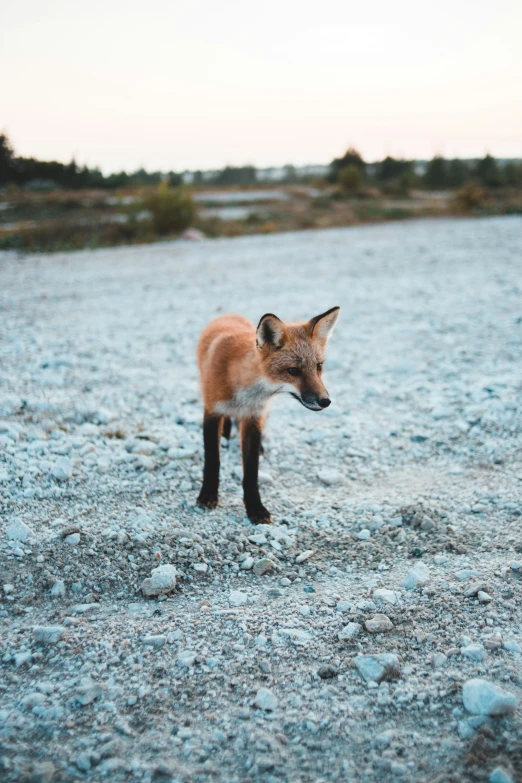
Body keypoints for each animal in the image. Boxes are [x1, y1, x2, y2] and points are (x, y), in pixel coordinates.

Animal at [195, 310, 338, 524]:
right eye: (293, 370)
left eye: (318, 366)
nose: (325, 401)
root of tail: (229, 314)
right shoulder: (212, 411)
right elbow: (213, 461)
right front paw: (208, 495)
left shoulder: (254, 417)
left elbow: (251, 472)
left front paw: (255, 508)